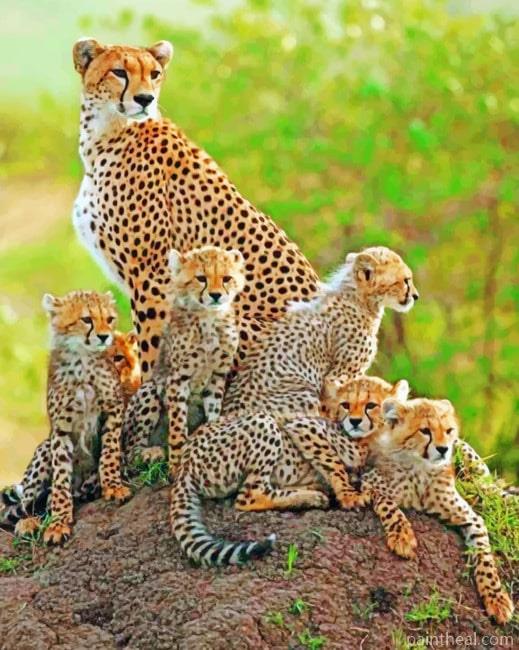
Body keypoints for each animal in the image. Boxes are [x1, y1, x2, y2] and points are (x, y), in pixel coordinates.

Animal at [4, 291, 131, 544]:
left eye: (109, 319)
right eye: (87, 319)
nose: (104, 336)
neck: (82, 361)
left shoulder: (113, 409)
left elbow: (110, 452)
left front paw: (113, 486)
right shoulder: (60, 430)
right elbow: (61, 479)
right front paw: (59, 522)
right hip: (44, 450)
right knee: (26, 504)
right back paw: (30, 522)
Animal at [72, 38, 319, 382]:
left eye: (154, 73)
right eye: (119, 72)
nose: (145, 98)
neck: (106, 132)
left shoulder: (154, 276)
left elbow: (152, 348)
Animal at [123, 245, 245, 472]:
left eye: (226, 278)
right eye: (201, 278)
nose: (216, 295)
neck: (209, 317)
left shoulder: (217, 376)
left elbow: (213, 412)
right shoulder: (178, 378)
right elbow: (178, 424)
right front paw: (176, 463)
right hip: (149, 390)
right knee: (130, 451)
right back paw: (150, 453)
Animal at [359, 396, 514, 625]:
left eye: (448, 430)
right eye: (425, 431)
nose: (443, 449)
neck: (421, 468)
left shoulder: (471, 518)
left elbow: (485, 557)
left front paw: (497, 599)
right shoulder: (368, 484)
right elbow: (389, 505)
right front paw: (403, 537)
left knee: (488, 487)